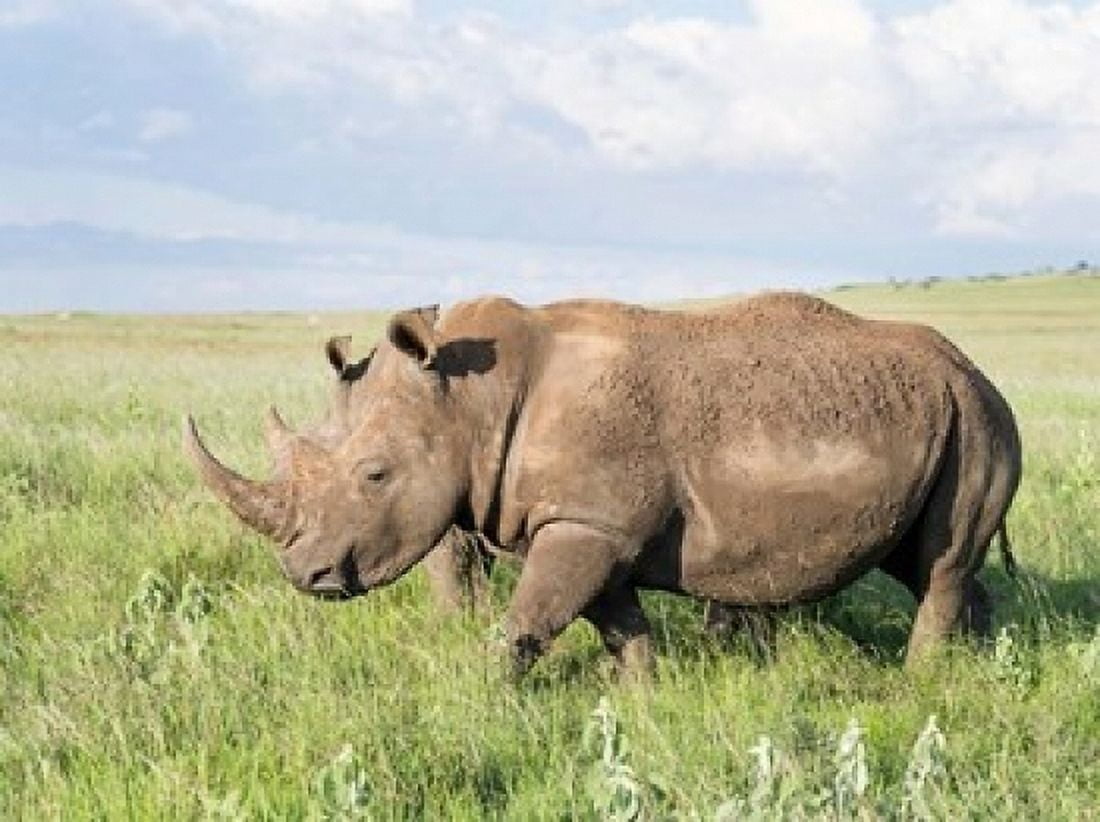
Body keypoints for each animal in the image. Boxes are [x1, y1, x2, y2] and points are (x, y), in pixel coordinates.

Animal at [185, 292, 1021, 676]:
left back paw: (920, 682)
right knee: (931, 563)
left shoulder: (587, 523)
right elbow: (617, 625)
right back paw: (980, 670)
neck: (471, 400)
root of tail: (976, 368)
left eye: (375, 474)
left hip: (976, 416)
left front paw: (486, 695)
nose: (304, 574)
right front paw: (642, 702)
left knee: (941, 564)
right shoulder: (593, 524)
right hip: (952, 413)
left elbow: (528, 621)